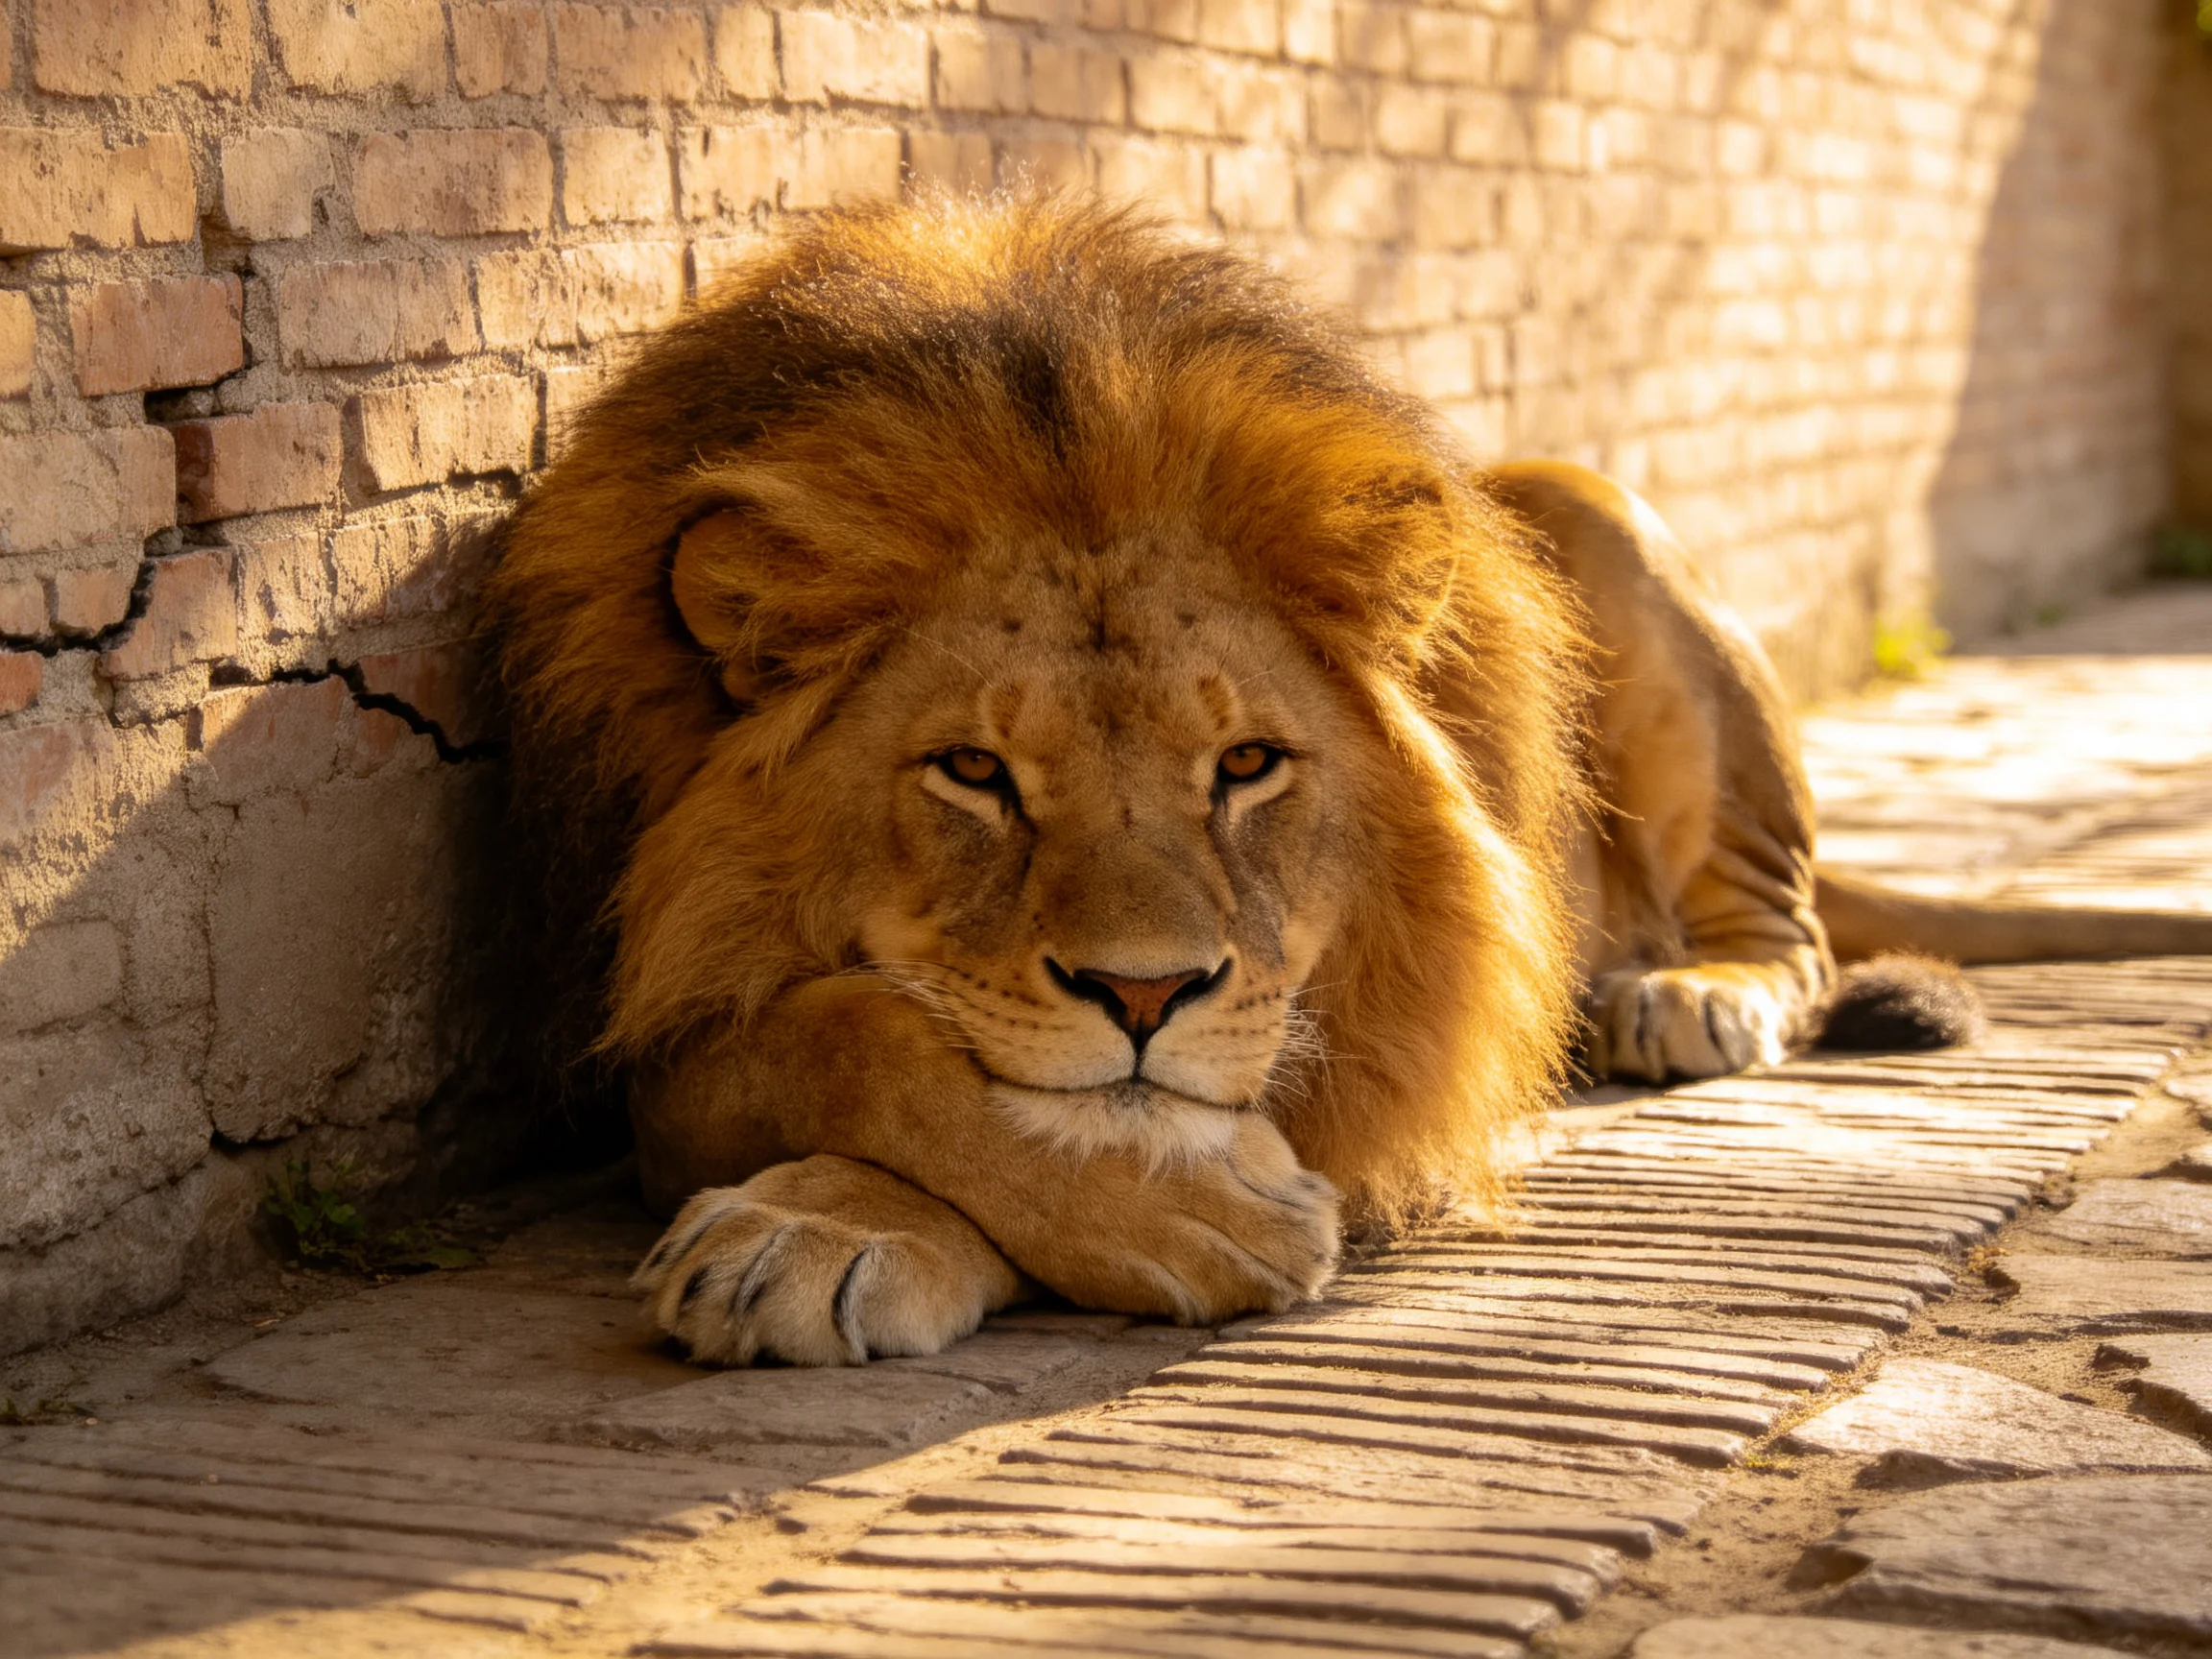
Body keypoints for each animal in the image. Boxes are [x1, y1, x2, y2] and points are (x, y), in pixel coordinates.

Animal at [487, 194, 2212, 1368]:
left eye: (1246, 765)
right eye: (974, 772)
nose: (1143, 994)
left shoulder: (1391, 1010)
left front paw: (1165, 1209)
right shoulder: (662, 1013)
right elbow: (853, 1038)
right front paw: (831, 1219)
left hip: (1583, 509)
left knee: (1776, 920)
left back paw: (1685, 993)